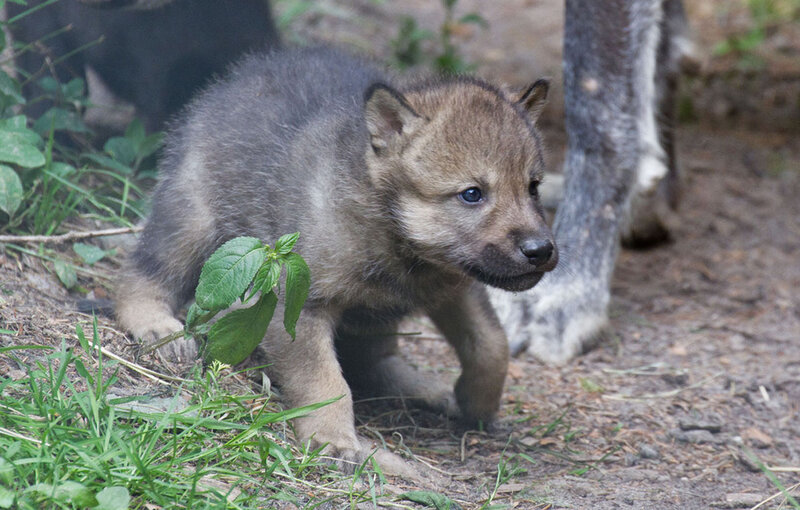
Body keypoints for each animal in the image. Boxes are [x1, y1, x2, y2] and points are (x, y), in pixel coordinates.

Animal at [114, 46, 557, 471]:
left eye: (534, 187)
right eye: (472, 194)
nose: (542, 251)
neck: (395, 239)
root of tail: (229, 82)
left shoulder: (457, 288)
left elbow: (491, 345)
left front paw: (477, 404)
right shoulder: (299, 306)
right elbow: (326, 382)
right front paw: (333, 440)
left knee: (374, 359)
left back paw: (426, 389)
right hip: (193, 223)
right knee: (141, 274)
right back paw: (156, 327)